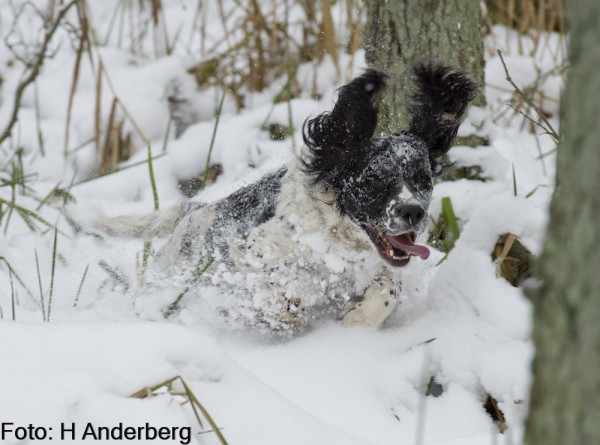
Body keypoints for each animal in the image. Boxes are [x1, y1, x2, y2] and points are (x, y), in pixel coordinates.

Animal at [97, 61, 478, 332]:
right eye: (373, 181)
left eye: (423, 179)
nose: (413, 212)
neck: (334, 240)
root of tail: (193, 211)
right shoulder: (253, 251)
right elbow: (279, 291)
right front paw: (284, 309)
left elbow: (389, 287)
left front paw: (357, 320)